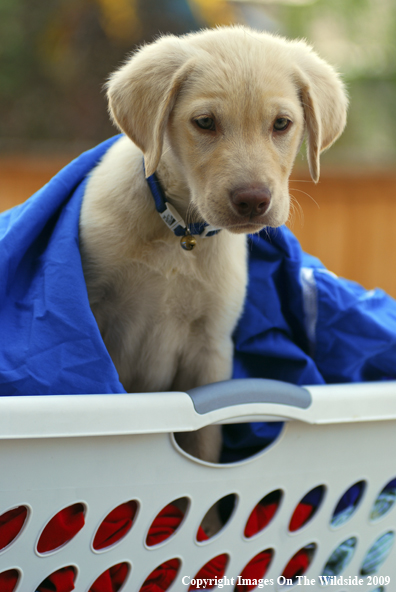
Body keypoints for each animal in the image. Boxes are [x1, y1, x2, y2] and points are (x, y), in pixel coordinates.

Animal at [78, 25, 346, 460]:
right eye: (205, 122)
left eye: (281, 124)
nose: (253, 200)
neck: (180, 234)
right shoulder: (95, 320)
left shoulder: (211, 351)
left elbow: (204, 442)